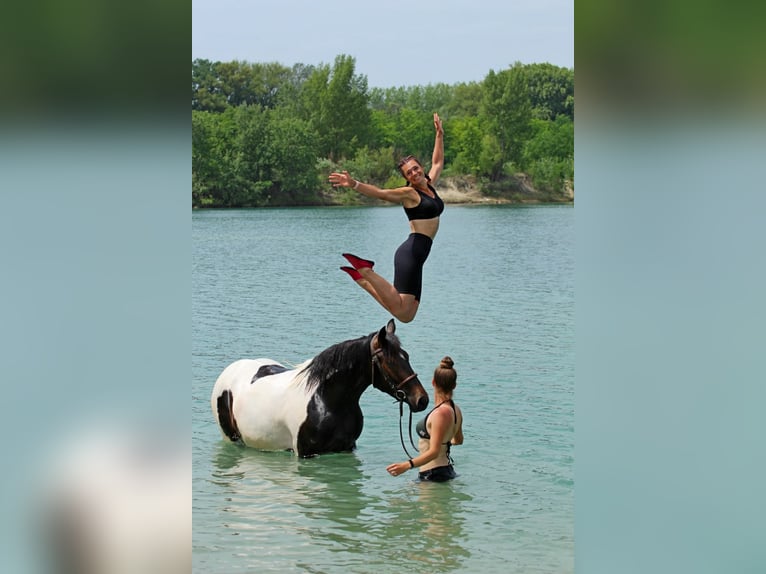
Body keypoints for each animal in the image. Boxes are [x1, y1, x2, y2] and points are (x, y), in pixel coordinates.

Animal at [211, 319, 429, 457]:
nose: (422, 399)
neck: (327, 400)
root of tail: (231, 369)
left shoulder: (346, 447)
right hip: (231, 438)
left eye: (406, 356)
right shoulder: (306, 454)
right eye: (389, 361)